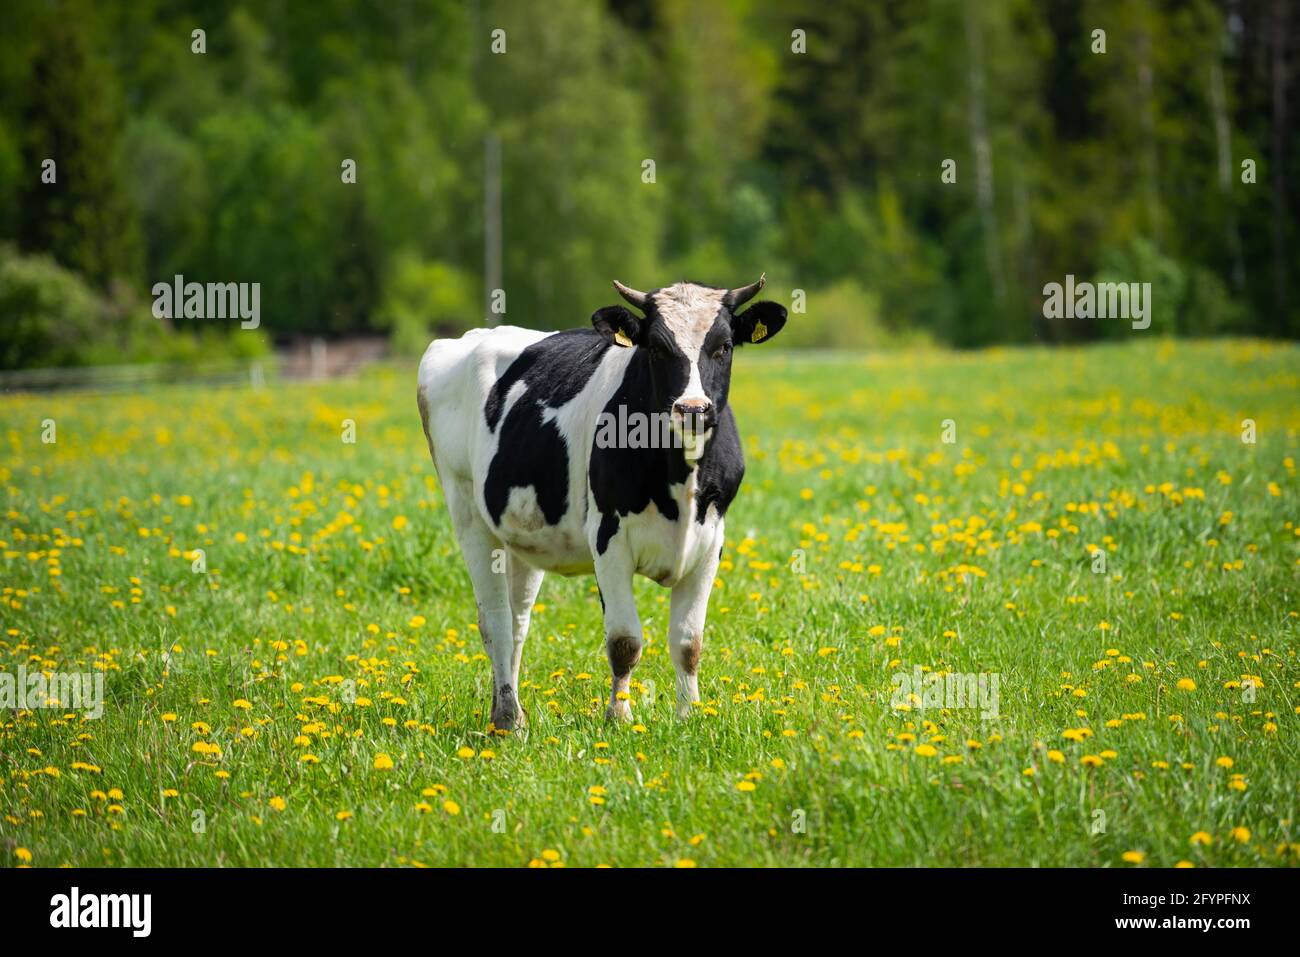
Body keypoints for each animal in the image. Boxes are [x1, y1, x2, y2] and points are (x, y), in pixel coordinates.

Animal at [417, 275, 787, 730]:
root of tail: (476, 335)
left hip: (521, 535)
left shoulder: (711, 540)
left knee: (518, 622)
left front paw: (689, 715)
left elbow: (689, 641)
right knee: (497, 621)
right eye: (657, 347)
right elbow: (625, 640)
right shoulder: (609, 537)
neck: (678, 480)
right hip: (467, 511)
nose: (693, 409)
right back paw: (507, 720)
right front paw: (619, 715)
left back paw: (510, 710)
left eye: (724, 346)